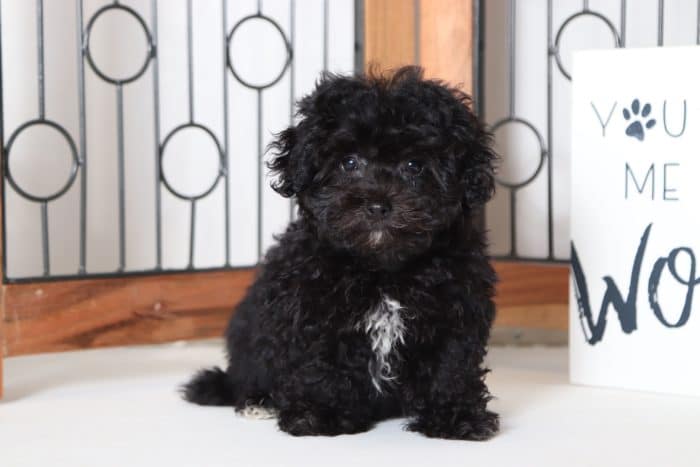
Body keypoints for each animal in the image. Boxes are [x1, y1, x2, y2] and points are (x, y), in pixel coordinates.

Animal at [180, 66, 498, 442]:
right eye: (349, 162)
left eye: (414, 165)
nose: (377, 205)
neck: (383, 269)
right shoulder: (310, 307)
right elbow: (319, 362)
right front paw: (321, 413)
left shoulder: (458, 307)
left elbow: (451, 364)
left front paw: (455, 416)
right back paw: (258, 401)